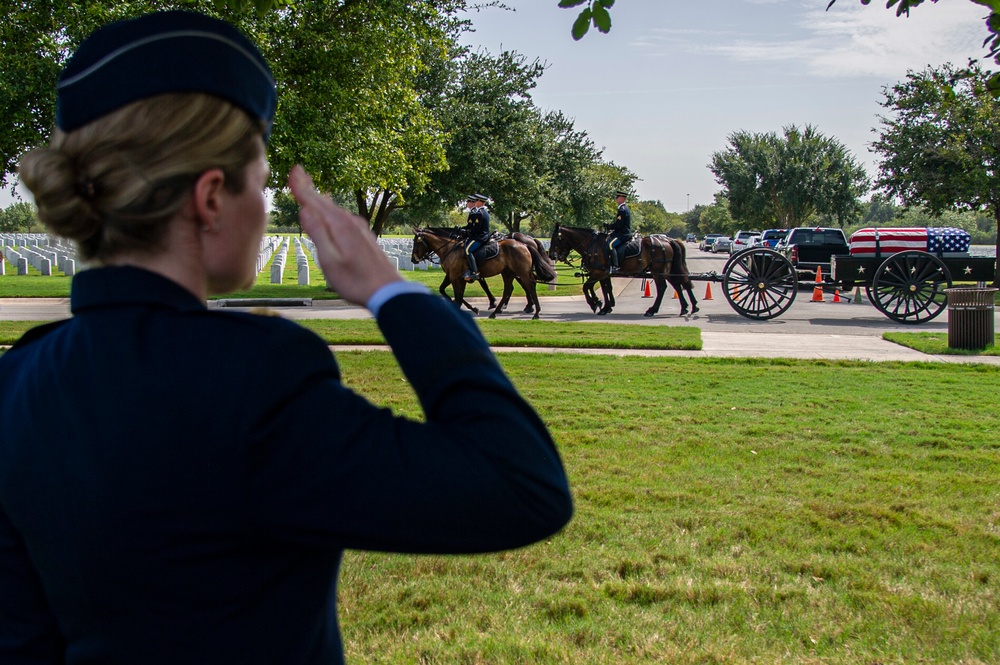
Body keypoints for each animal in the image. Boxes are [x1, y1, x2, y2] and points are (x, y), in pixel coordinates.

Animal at [410, 228, 560, 320]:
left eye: (416, 242)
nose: (413, 259)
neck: (450, 248)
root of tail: (524, 244)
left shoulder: (455, 277)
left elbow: (458, 296)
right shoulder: (455, 277)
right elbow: (448, 292)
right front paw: (474, 308)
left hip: (521, 272)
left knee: (530, 286)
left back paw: (535, 311)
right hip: (509, 273)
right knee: (510, 289)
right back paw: (497, 312)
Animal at [548, 223, 696, 316]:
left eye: (556, 238)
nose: (551, 255)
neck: (593, 244)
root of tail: (668, 241)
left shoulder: (598, 272)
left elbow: (586, 287)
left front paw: (595, 303)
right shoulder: (604, 274)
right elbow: (606, 288)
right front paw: (605, 306)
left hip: (658, 272)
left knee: (663, 288)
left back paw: (652, 310)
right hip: (667, 271)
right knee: (678, 284)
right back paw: (687, 307)